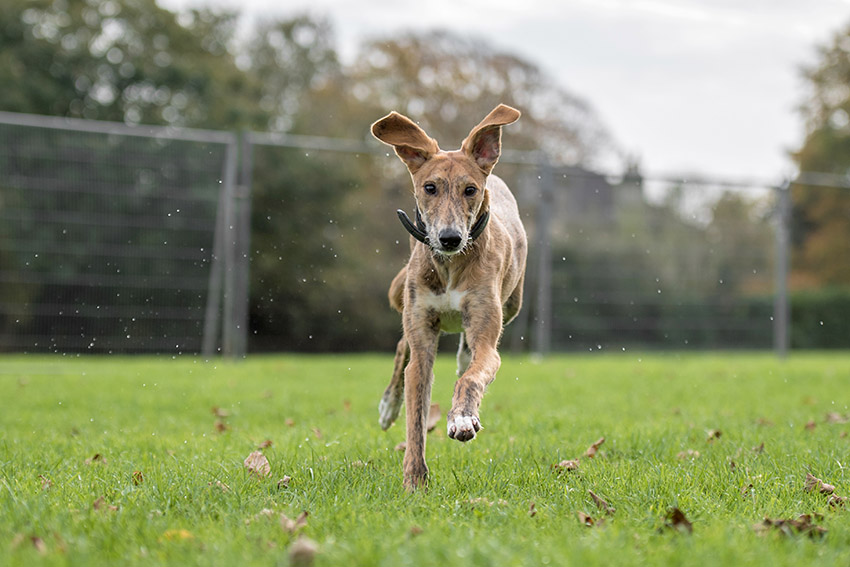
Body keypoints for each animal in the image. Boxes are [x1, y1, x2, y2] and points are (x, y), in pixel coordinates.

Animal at [370, 104, 524, 490]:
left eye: (470, 189)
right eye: (430, 187)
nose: (450, 238)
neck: (451, 265)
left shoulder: (486, 335)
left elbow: (472, 376)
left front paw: (462, 417)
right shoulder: (422, 336)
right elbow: (415, 416)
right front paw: (414, 481)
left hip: (511, 305)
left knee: (466, 357)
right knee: (402, 349)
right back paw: (388, 405)